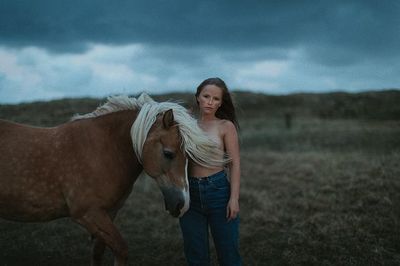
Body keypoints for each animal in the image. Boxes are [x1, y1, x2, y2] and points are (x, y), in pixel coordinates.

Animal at [0, 93, 225, 264]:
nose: (183, 205)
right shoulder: (87, 214)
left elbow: (99, 253)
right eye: (168, 153)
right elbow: (121, 249)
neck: (104, 151)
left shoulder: (109, 213)